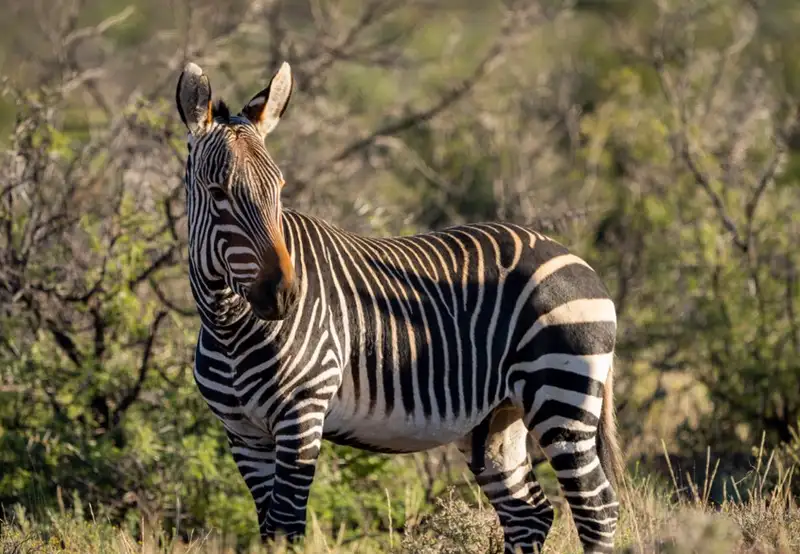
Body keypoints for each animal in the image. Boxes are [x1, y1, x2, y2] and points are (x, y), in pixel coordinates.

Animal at [175, 60, 624, 554]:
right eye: (218, 192)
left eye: (279, 188)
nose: (285, 295)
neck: (229, 327)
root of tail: (575, 258)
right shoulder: (244, 435)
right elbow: (269, 530)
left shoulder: (301, 415)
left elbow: (288, 528)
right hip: (496, 418)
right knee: (530, 512)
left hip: (559, 393)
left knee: (597, 509)